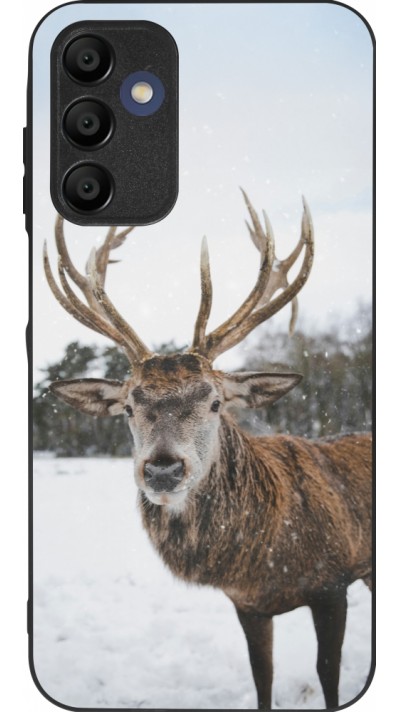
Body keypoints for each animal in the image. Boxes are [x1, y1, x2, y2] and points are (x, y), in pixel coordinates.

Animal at [43, 190, 372, 710]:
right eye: (129, 407)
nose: (162, 470)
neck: (266, 558)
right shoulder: (247, 604)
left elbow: (328, 675)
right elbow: (262, 676)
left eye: (215, 401)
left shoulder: (333, 580)